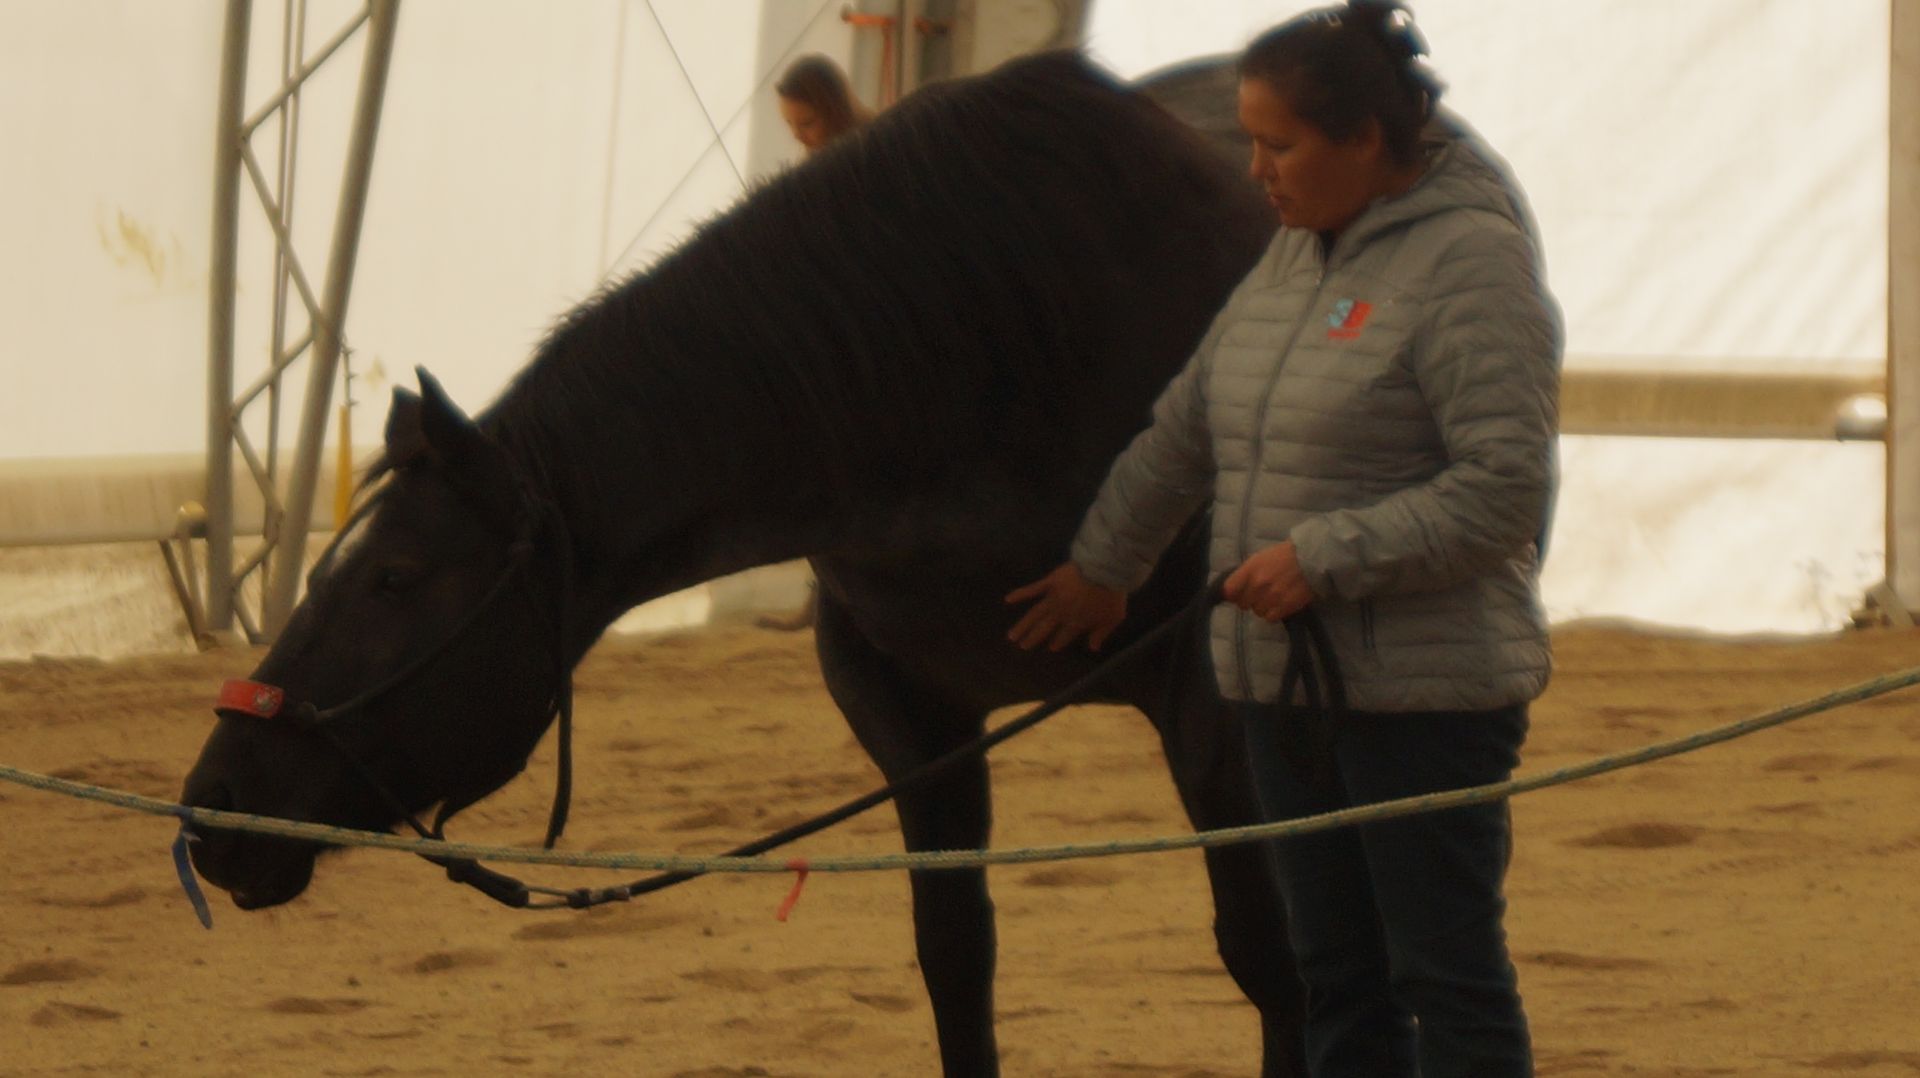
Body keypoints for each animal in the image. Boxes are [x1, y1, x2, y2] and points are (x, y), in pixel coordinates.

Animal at [181, 51, 1303, 1076]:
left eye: (395, 578)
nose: (214, 801)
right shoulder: (913, 715)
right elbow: (955, 956)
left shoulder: (1216, 710)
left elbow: (1272, 955)